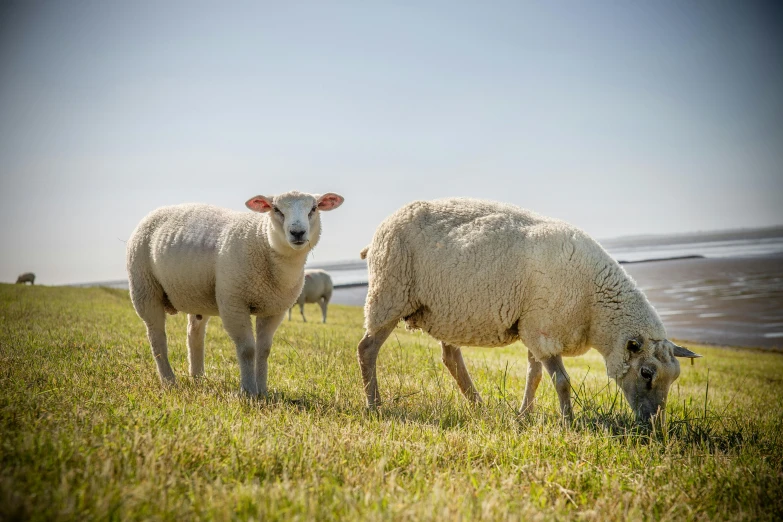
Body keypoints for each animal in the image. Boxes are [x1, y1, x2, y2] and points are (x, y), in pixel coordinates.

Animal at [128, 189, 344, 392]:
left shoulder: (274, 308)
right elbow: (247, 349)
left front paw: (262, 391)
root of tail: (156, 211)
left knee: (194, 333)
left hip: (197, 295)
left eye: (313, 208)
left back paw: (198, 377)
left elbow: (264, 350)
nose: (297, 232)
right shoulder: (233, 302)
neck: (262, 241)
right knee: (157, 338)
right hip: (144, 287)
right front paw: (248, 391)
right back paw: (169, 381)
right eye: (276, 209)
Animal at [358, 197, 700, 420]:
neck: (594, 308)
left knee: (451, 358)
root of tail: (379, 230)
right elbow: (561, 381)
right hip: (389, 294)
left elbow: (534, 377)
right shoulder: (543, 331)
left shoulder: (536, 327)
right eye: (646, 373)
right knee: (367, 349)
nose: (653, 426)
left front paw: (525, 415)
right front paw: (568, 422)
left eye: (674, 379)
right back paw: (375, 406)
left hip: (448, 310)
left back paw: (479, 406)